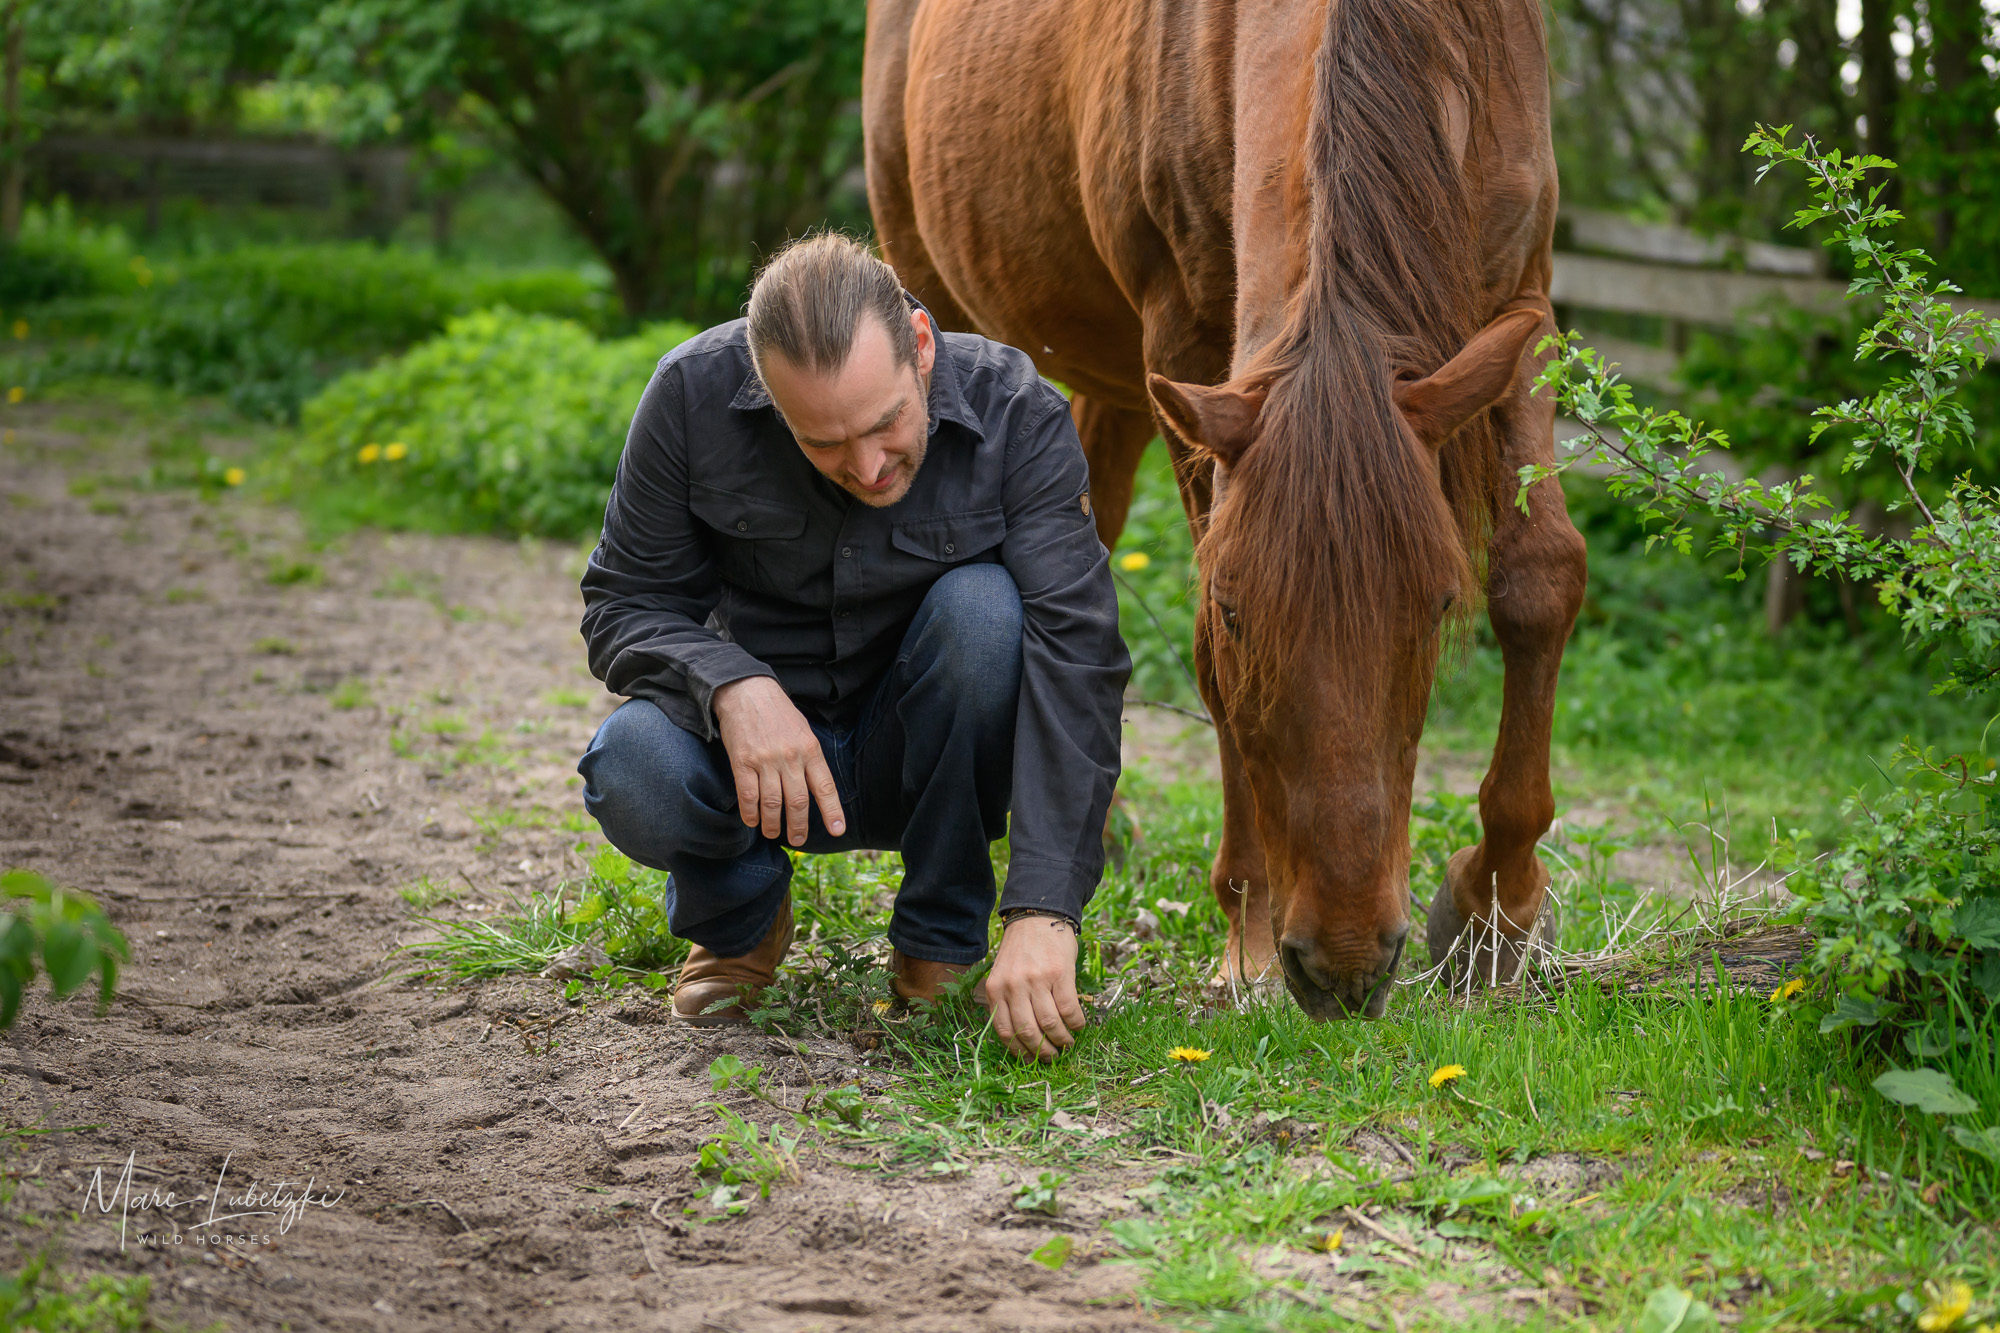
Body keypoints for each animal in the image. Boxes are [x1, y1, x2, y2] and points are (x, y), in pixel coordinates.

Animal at [863, 0, 1586, 1018]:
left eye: (1439, 605)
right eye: (1239, 613)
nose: (1346, 963)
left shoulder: (1520, 295)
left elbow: (1539, 581)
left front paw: (1498, 909)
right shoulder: (1193, 342)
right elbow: (1208, 665)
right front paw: (1247, 934)